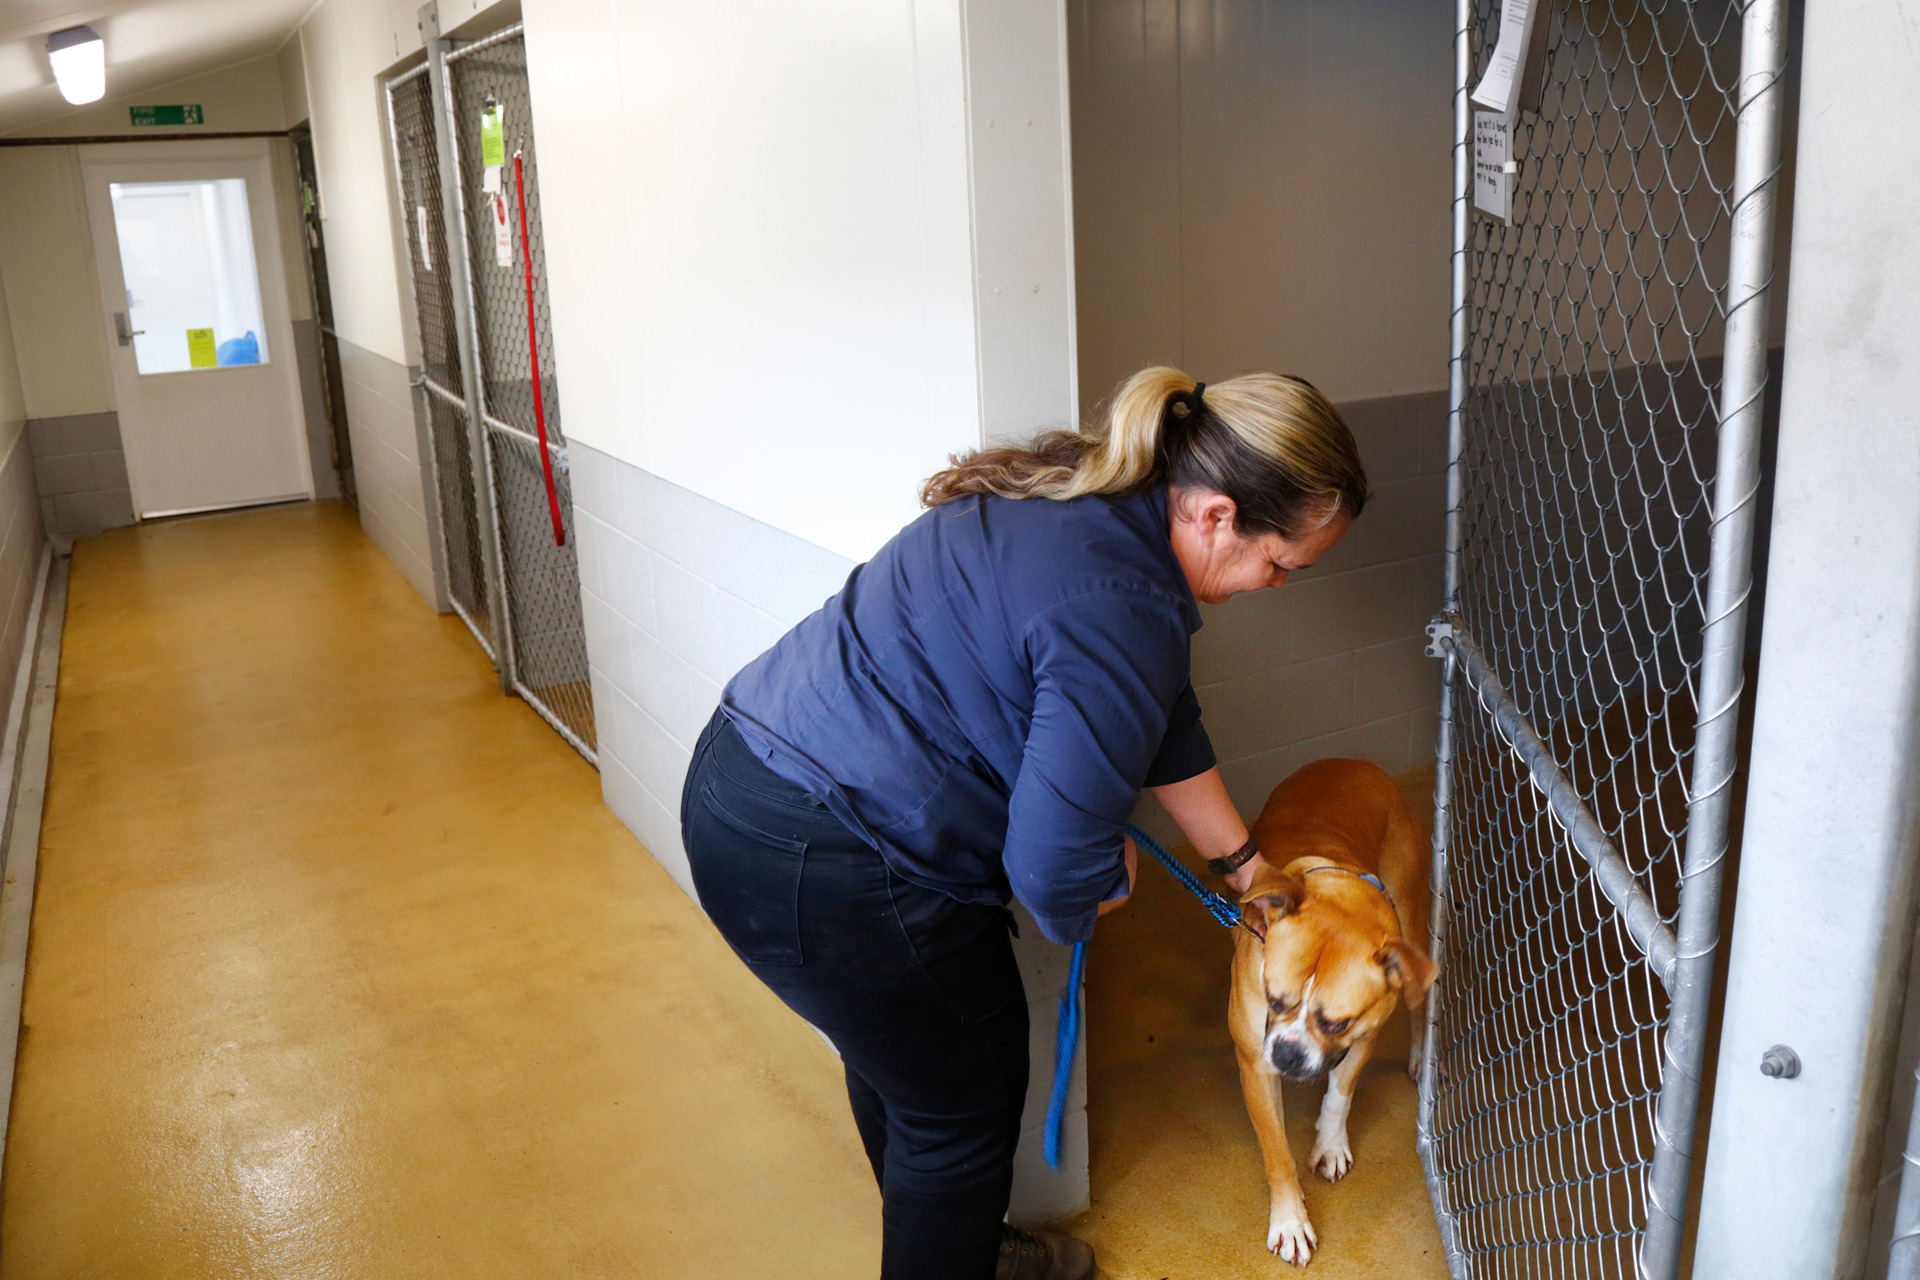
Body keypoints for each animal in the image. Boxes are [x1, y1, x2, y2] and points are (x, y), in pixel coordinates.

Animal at [1236, 756, 1436, 1266]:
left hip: (1413, 920)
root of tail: (1350, 761)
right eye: (1273, 998)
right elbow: (1276, 1151)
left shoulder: (1362, 1035)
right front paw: (1290, 1221)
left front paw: (1329, 1143)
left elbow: (1340, 1093)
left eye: (1336, 1022)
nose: (1287, 1054)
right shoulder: (1255, 1066)